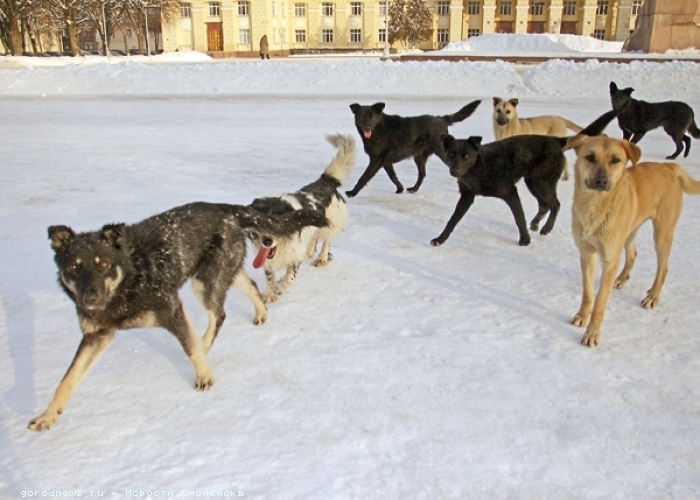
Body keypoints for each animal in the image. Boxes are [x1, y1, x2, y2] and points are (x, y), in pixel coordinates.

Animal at [29, 202, 326, 430]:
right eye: (73, 267)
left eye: (103, 264)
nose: (88, 299)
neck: (128, 280)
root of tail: (223, 208)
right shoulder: (96, 336)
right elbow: (67, 379)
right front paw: (48, 415)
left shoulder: (171, 309)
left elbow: (191, 347)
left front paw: (204, 376)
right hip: (216, 274)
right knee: (250, 285)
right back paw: (261, 312)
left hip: (205, 284)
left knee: (219, 315)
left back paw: (208, 344)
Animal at [247, 134, 356, 300]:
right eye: (260, 221)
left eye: (278, 222)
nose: (267, 241)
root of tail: (326, 181)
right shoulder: (267, 259)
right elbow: (269, 275)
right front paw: (269, 294)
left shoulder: (295, 256)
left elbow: (290, 276)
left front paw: (281, 287)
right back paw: (310, 251)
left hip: (332, 223)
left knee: (326, 242)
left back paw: (321, 258)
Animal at [346, 100, 478, 197]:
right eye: (361, 117)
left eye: (371, 117)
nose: (367, 128)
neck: (378, 129)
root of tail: (442, 119)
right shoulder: (385, 161)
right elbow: (393, 176)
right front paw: (400, 189)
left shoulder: (376, 160)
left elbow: (363, 177)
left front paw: (352, 193)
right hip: (419, 157)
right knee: (422, 174)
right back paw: (414, 189)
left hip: (443, 153)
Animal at [432, 111, 616, 248]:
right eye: (451, 154)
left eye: (466, 156)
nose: (455, 171)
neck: (480, 166)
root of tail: (557, 141)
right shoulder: (467, 196)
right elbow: (453, 220)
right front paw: (440, 239)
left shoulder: (510, 192)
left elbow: (519, 217)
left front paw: (525, 240)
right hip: (533, 181)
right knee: (545, 205)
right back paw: (535, 224)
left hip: (542, 182)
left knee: (555, 204)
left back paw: (546, 228)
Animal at [568, 135, 700, 350]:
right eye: (590, 157)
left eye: (616, 160)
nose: (602, 180)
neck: (595, 206)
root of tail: (668, 167)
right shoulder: (587, 254)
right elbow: (588, 294)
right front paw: (582, 316)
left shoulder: (609, 260)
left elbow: (600, 303)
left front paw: (592, 333)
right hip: (630, 229)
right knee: (633, 253)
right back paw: (622, 278)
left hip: (662, 233)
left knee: (663, 269)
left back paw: (652, 296)